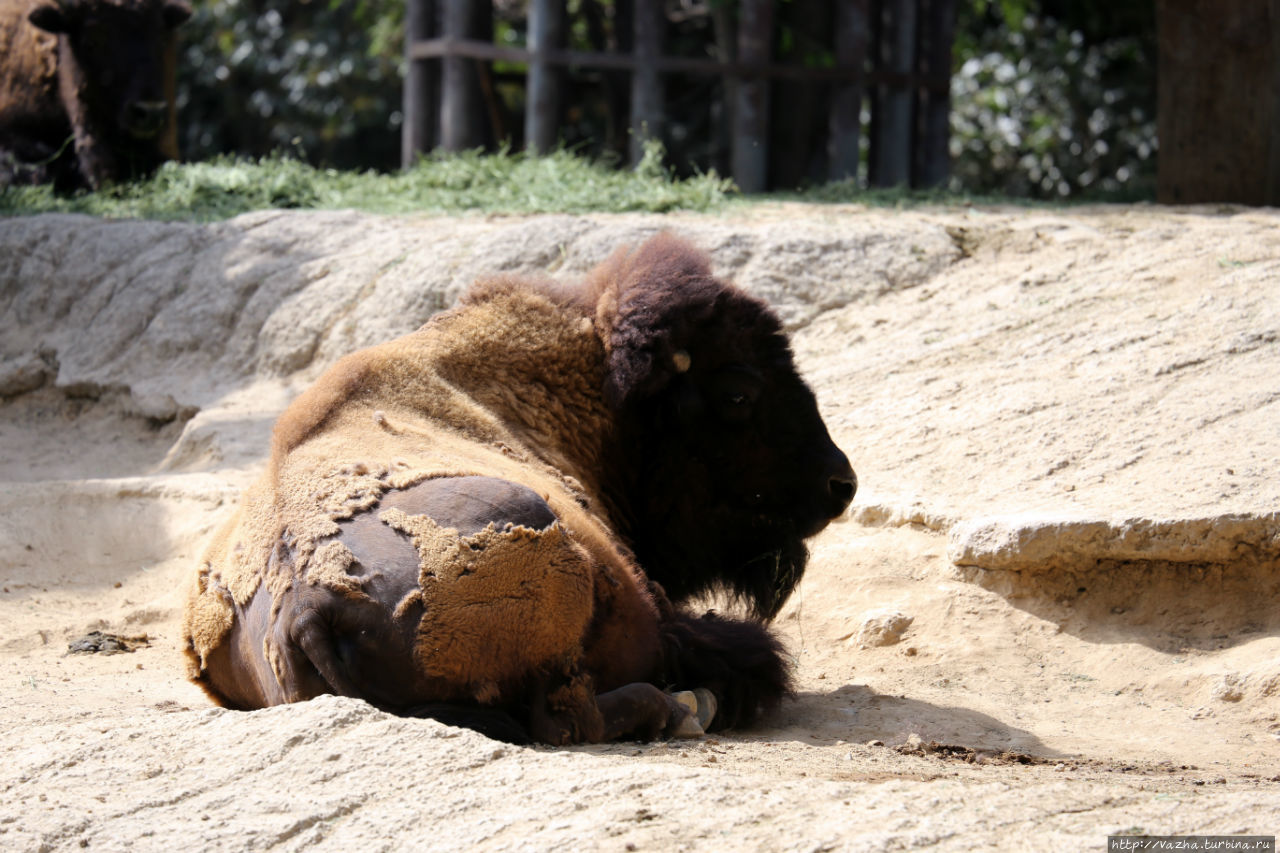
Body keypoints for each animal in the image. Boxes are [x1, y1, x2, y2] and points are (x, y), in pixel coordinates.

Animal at [183, 234, 860, 742]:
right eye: (740, 394)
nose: (840, 483)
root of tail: (306, 609)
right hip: (539, 538)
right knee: (571, 719)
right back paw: (687, 708)